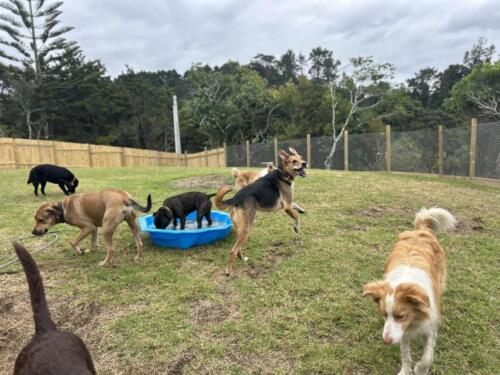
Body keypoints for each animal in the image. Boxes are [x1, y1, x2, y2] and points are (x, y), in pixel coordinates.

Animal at [214, 148, 304, 276]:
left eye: (301, 158)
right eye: (294, 161)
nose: (305, 163)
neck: (283, 173)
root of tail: (235, 198)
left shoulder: (288, 204)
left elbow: (296, 206)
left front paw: (301, 209)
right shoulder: (286, 206)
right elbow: (296, 217)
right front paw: (296, 228)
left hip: (240, 228)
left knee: (238, 249)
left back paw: (243, 259)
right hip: (246, 229)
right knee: (233, 251)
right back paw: (228, 271)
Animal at [364, 209, 458, 375]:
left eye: (401, 316)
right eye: (384, 314)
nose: (387, 341)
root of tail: (420, 230)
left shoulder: (430, 324)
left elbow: (427, 357)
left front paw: (420, 369)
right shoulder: (403, 330)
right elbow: (405, 354)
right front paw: (405, 370)